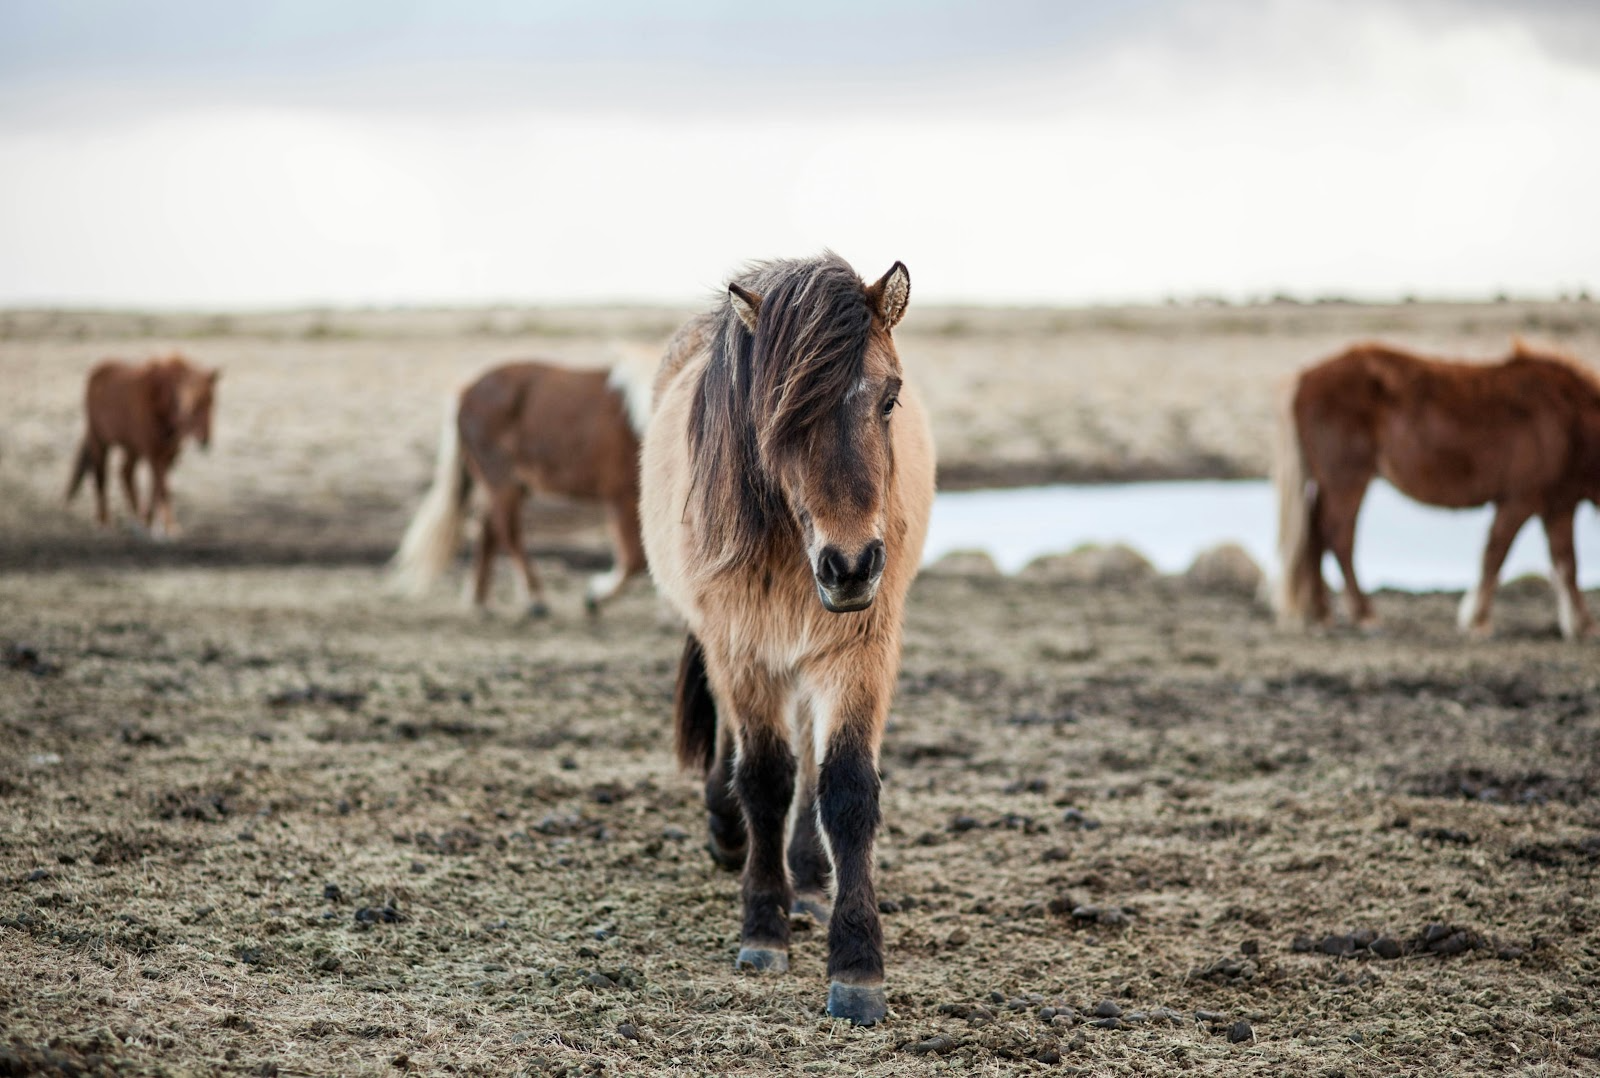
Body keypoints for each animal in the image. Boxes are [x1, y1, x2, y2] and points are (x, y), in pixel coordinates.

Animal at [66, 353, 220, 538]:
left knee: (126, 473)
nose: (205, 440)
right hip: (99, 441)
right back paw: (104, 522)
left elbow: (158, 489)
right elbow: (162, 489)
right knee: (101, 477)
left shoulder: (168, 454)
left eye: (211, 402)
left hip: (132, 448)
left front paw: (151, 522)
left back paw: (136, 517)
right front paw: (165, 526)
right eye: (195, 404)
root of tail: (98, 370)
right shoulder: (153, 453)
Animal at [390, 354, 654, 616]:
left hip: (512, 486)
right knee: (507, 532)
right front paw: (595, 596)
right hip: (502, 481)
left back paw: (480, 599)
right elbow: (636, 559)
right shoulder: (623, 496)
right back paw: (534, 598)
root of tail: (466, 392)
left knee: (490, 529)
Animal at [641, 253, 935, 1025]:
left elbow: (846, 786)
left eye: (889, 399)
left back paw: (806, 878)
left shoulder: (859, 650)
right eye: (781, 412)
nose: (852, 564)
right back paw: (731, 835)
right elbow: (765, 778)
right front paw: (763, 928)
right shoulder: (741, 648)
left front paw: (858, 965)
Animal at [1274, 339, 1600, 639]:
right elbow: (1496, 554)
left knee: (1316, 535)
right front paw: (1477, 620)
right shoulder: (1520, 499)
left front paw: (1581, 625)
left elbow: (1566, 563)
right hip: (1347, 480)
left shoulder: (1560, 505)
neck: (1568, 420)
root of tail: (1306, 377)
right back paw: (1362, 614)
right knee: (1337, 536)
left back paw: (1322, 613)